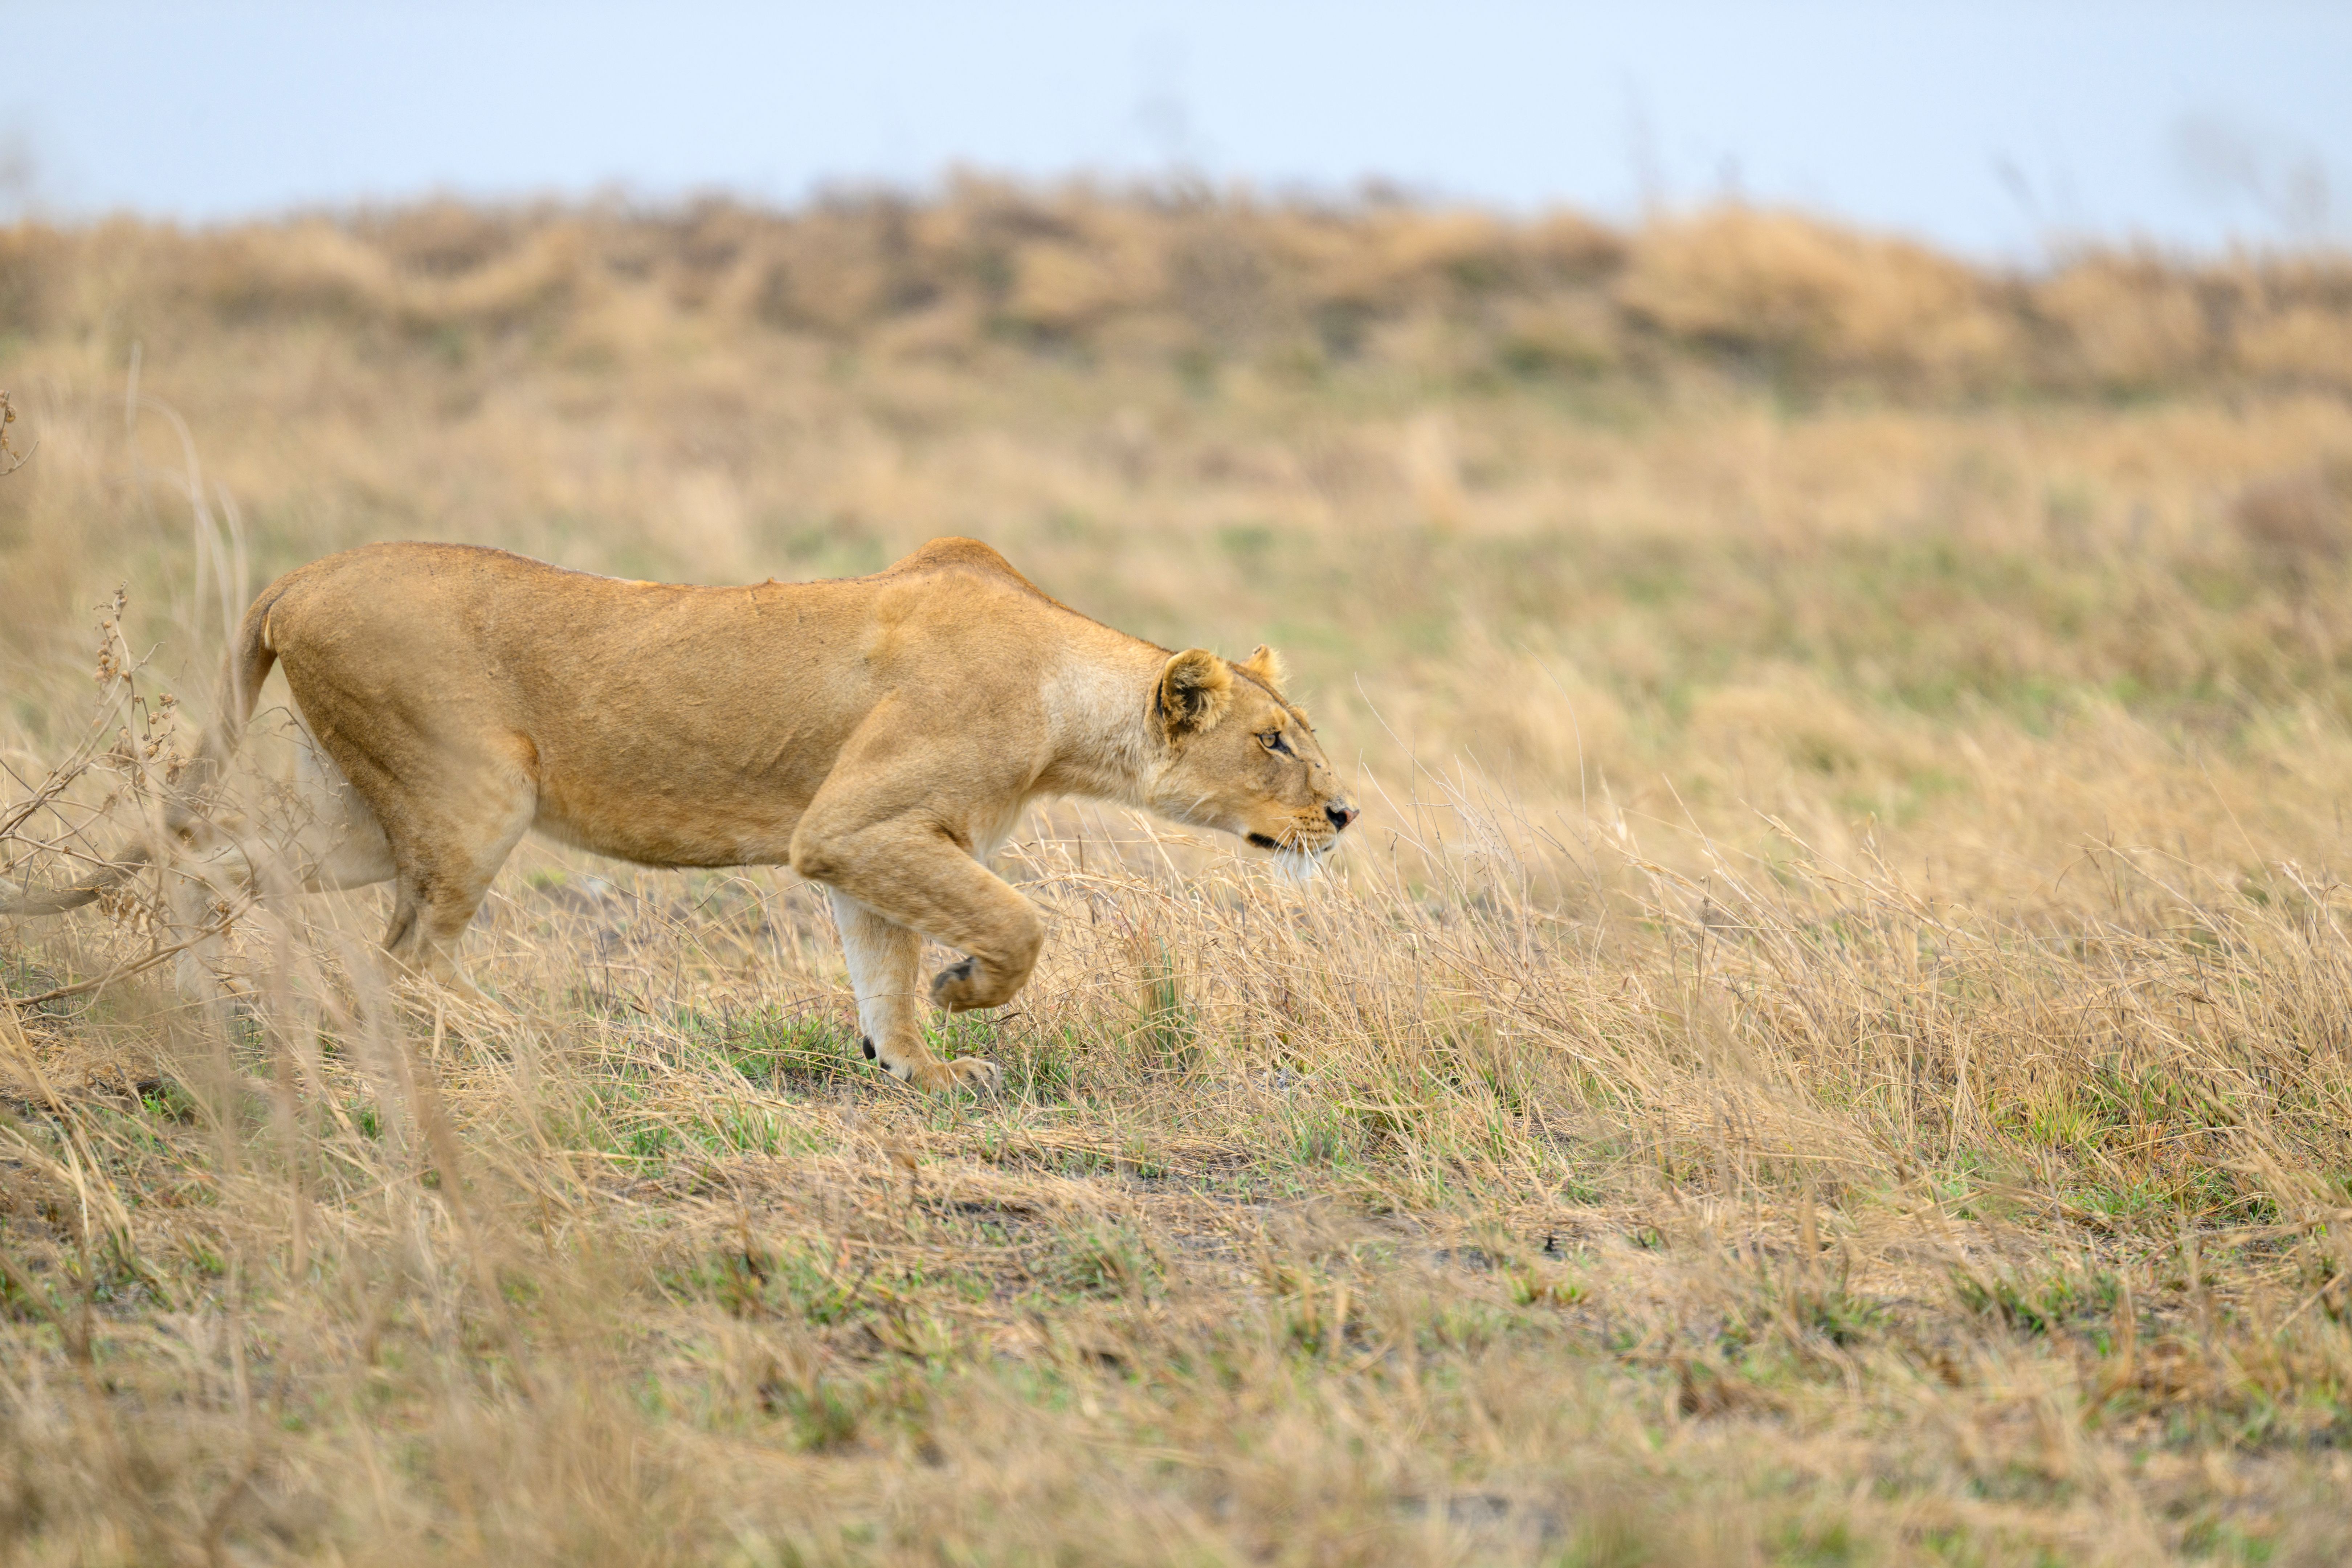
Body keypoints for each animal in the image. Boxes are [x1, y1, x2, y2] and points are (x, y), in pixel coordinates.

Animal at [3, 538, 1359, 1091]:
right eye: (1275, 742)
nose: (1344, 814)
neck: (1066, 695)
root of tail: (301, 576)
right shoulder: (858, 823)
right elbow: (1014, 927)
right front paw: (970, 992)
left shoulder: (869, 846)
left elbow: (881, 967)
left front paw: (914, 1066)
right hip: (477, 789)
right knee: (402, 964)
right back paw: (502, 1045)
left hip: (360, 813)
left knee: (224, 865)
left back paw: (185, 1006)